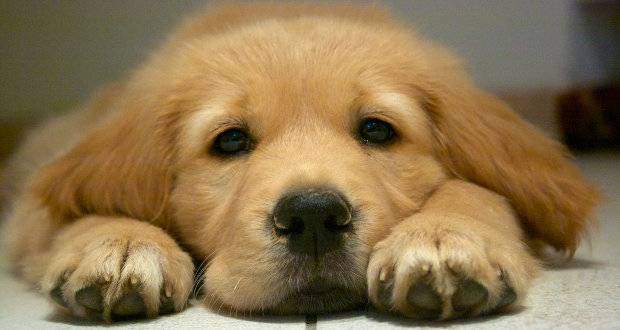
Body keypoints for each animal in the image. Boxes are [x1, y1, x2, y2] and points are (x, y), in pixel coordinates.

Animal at [1, 1, 600, 322]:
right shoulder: (38, 196)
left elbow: (481, 189)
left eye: (377, 129)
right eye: (231, 141)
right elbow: (84, 204)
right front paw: (120, 244)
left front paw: (444, 237)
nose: (313, 217)